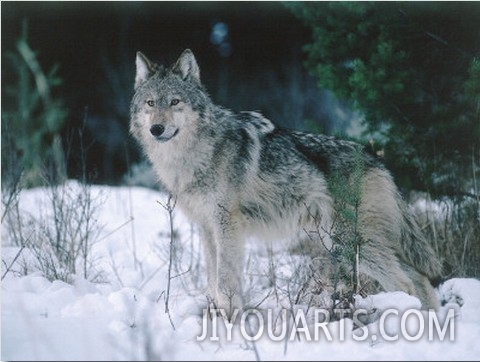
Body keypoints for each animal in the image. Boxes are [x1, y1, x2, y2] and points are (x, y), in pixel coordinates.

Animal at [128, 48, 442, 314]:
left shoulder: (227, 225)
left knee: (405, 283)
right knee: (421, 279)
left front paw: (230, 321)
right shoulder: (207, 227)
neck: (193, 155)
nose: (157, 129)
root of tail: (376, 159)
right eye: (151, 103)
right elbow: (213, 279)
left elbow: (226, 281)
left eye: (175, 102)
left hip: (352, 242)